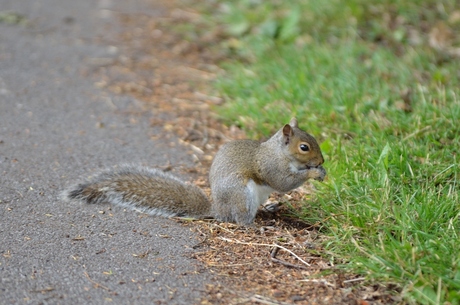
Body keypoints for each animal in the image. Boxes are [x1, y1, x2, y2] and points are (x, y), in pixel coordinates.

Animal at [62, 117, 328, 224]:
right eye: (304, 147)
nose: (322, 160)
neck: (280, 153)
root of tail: (217, 210)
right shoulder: (271, 167)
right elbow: (284, 182)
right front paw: (314, 173)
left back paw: (268, 210)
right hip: (241, 195)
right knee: (240, 220)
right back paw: (258, 225)